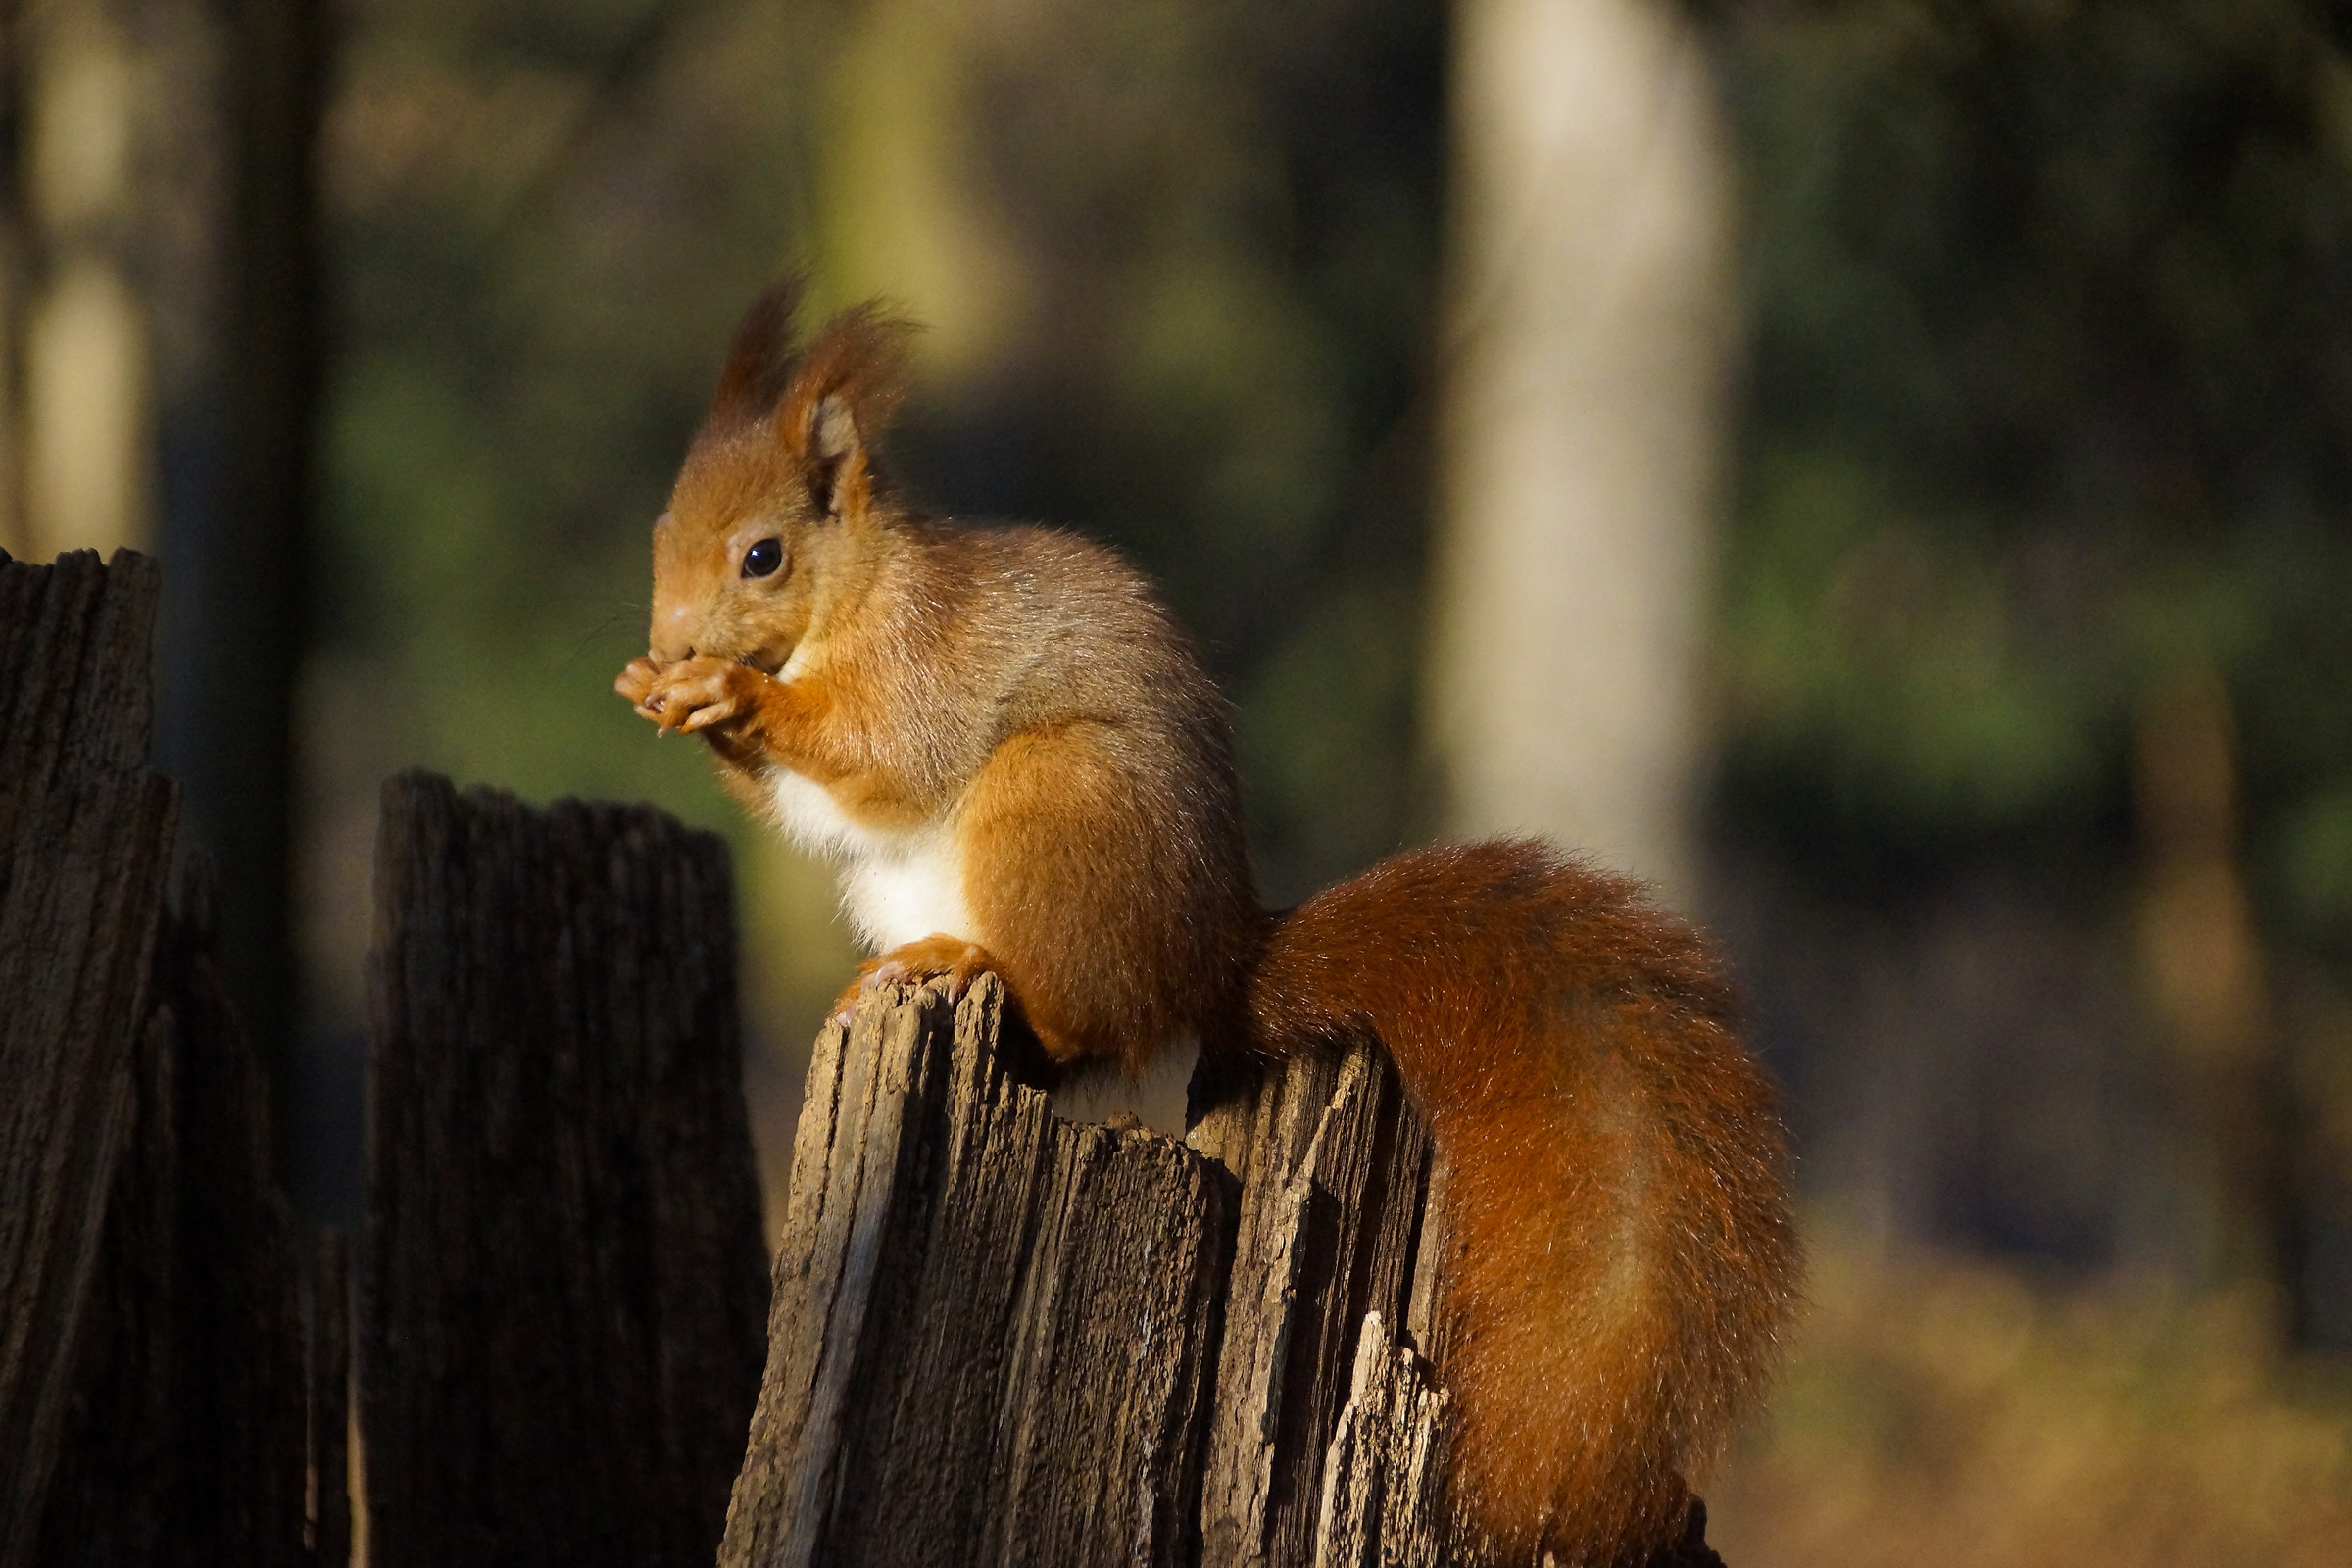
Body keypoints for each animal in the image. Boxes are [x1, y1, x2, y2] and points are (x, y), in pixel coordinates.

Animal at [615, 281, 1799, 1568]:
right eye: (660, 537)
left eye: (762, 555)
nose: (672, 639)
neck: (858, 590)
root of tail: (1214, 965)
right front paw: (662, 695)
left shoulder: (921, 654)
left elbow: (882, 753)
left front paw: (734, 695)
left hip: (1054, 802)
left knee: (1078, 1021)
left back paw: (966, 958)